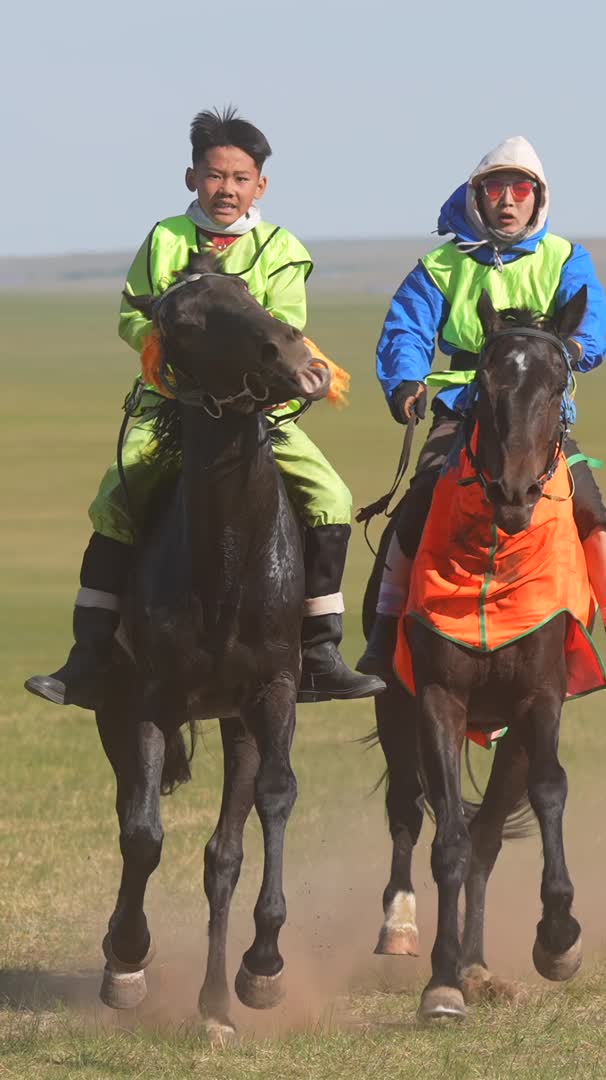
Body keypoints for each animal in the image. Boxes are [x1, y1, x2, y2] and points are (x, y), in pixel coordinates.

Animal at [95, 250, 330, 1036]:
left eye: (251, 293)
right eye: (184, 323)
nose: (294, 359)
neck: (228, 556)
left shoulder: (272, 694)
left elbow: (274, 802)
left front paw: (261, 967)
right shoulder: (147, 700)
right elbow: (143, 833)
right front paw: (126, 960)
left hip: (235, 720)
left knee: (223, 852)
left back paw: (216, 1000)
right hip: (116, 710)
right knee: (131, 817)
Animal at [358, 287, 591, 1019]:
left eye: (557, 383)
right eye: (484, 385)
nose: (513, 493)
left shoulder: (540, 699)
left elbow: (546, 792)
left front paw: (559, 934)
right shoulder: (438, 698)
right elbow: (447, 842)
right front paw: (442, 982)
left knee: (489, 832)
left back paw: (479, 959)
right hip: (396, 708)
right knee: (409, 809)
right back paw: (402, 926)